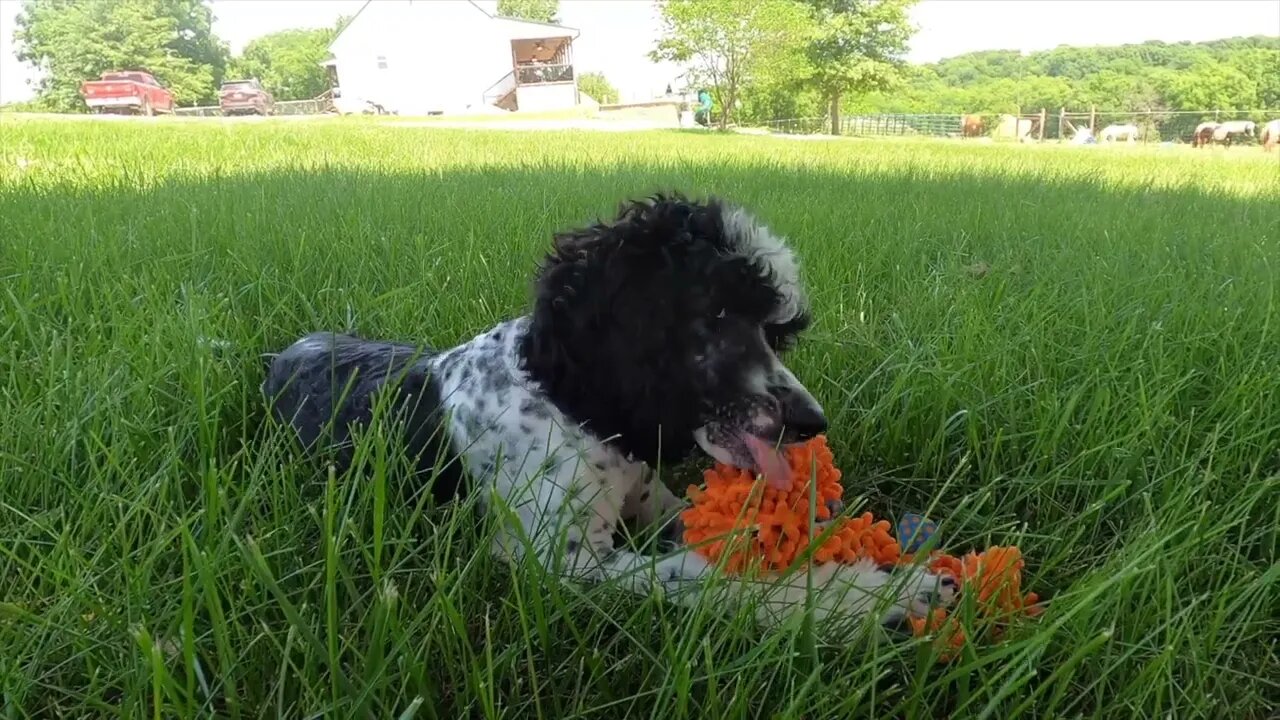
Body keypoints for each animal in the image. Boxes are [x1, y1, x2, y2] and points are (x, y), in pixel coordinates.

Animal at [262, 193, 952, 625]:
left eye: (777, 331)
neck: (569, 403)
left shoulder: (656, 506)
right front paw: (868, 598)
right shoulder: (562, 563)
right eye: (715, 313)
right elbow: (702, 576)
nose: (812, 422)